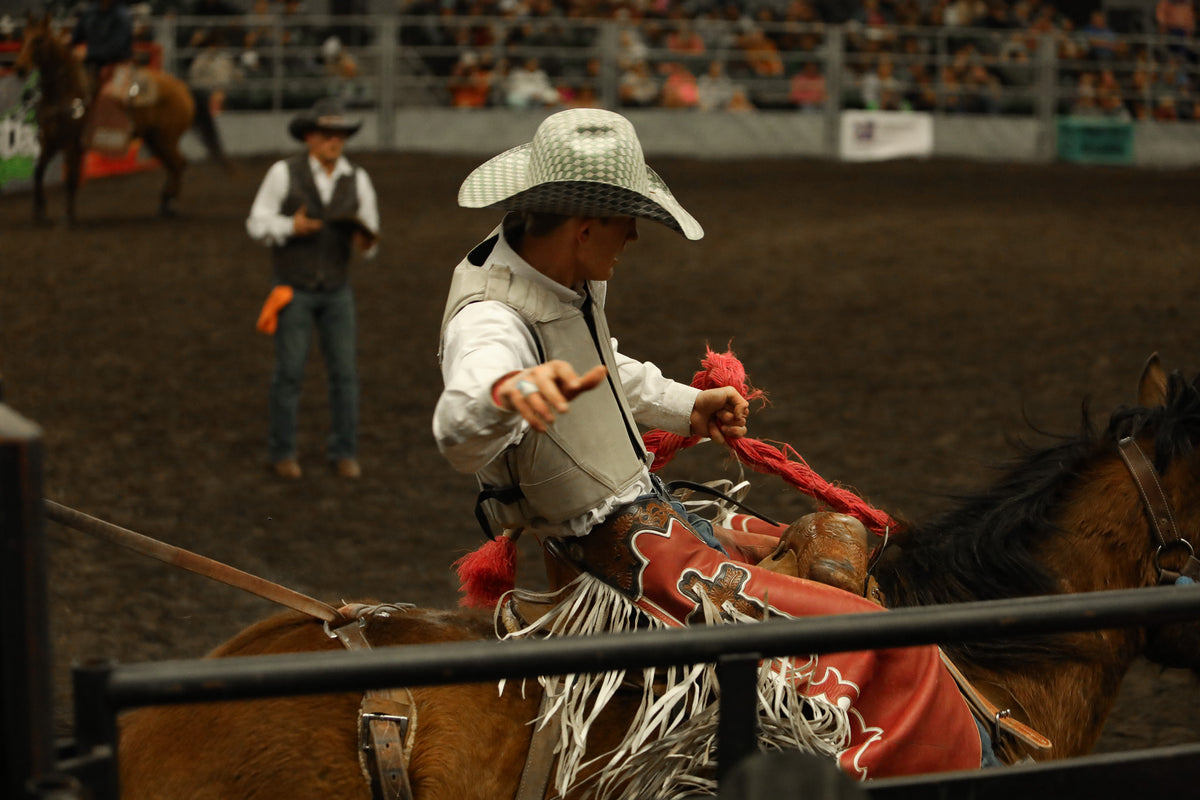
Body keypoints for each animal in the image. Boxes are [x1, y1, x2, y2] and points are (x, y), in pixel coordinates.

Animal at [13, 13, 231, 224]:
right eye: (23, 36)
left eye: (39, 40)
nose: (20, 68)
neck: (66, 91)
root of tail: (183, 87)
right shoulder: (49, 141)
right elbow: (38, 172)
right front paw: (40, 213)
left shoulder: (72, 144)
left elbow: (72, 179)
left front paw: (67, 216)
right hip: (154, 140)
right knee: (175, 165)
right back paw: (165, 204)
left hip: (166, 138)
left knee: (178, 164)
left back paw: (169, 204)